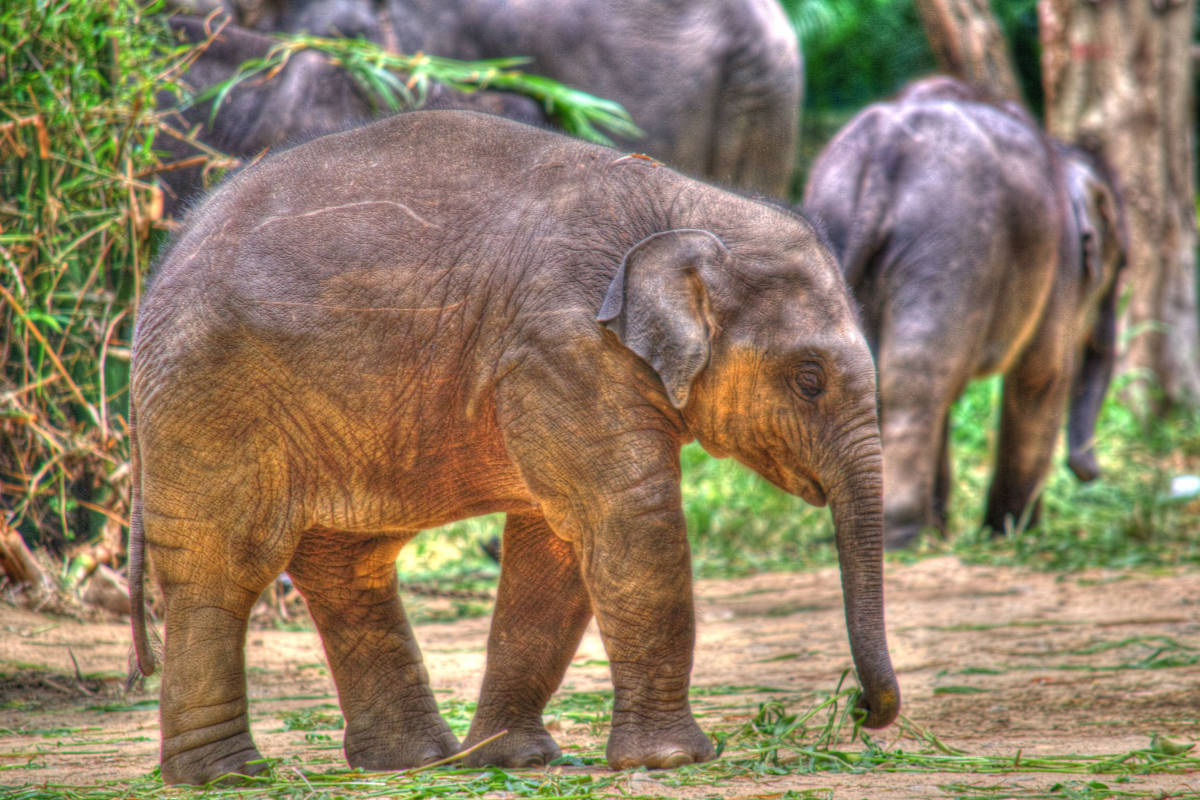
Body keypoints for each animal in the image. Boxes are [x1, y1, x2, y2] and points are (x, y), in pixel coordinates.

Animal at [133, 109, 902, 786]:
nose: (862, 710)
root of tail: (160, 263)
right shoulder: (563, 345)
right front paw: (675, 761)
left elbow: (555, 549)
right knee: (221, 565)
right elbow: (629, 519)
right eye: (809, 380)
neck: (688, 206)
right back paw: (228, 776)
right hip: (210, 398)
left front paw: (516, 761)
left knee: (348, 563)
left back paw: (411, 763)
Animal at [806, 76, 1123, 551]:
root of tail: (883, 152)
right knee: (915, 383)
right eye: (1119, 267)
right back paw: (903, 536)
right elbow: (1042, 378)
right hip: (949, 245)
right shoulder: (1060, 267)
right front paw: (1012, 534)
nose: (1090, 471)